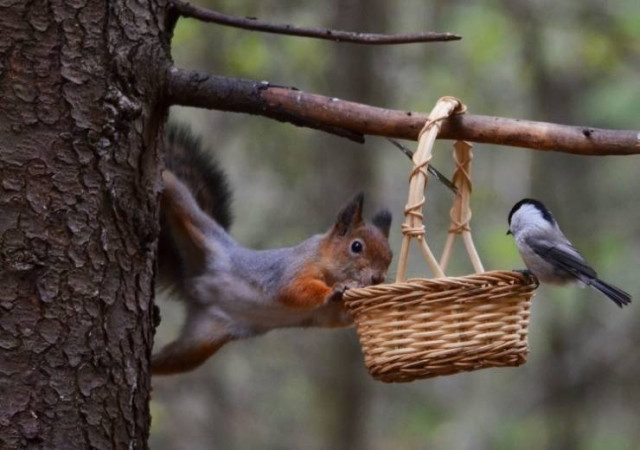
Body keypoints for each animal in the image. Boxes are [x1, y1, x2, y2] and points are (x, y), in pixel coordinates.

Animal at [154, 124, 396, 376]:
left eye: (390, 255)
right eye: (356, 246)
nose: (378, 278)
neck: (326, 262)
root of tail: (193, 283)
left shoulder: (328, 313)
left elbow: (339, 316)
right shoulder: (293, 267)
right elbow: (291, 288)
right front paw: (336, 288)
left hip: (198, 345)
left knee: (168, 360)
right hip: (197, 224)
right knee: (175, 190)